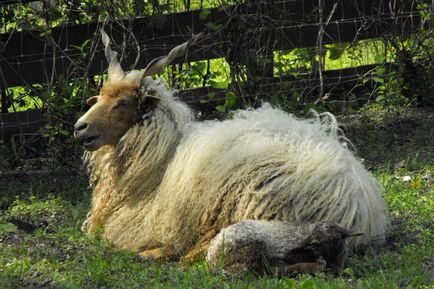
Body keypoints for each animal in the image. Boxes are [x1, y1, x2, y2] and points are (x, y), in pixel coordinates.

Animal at [74, 30, 390, 272]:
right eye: (99, 97)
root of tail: (359, 205)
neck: (163, 160)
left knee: (209, 249)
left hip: (251, 205)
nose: (80, 127)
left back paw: (160, 254)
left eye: (124, 103)